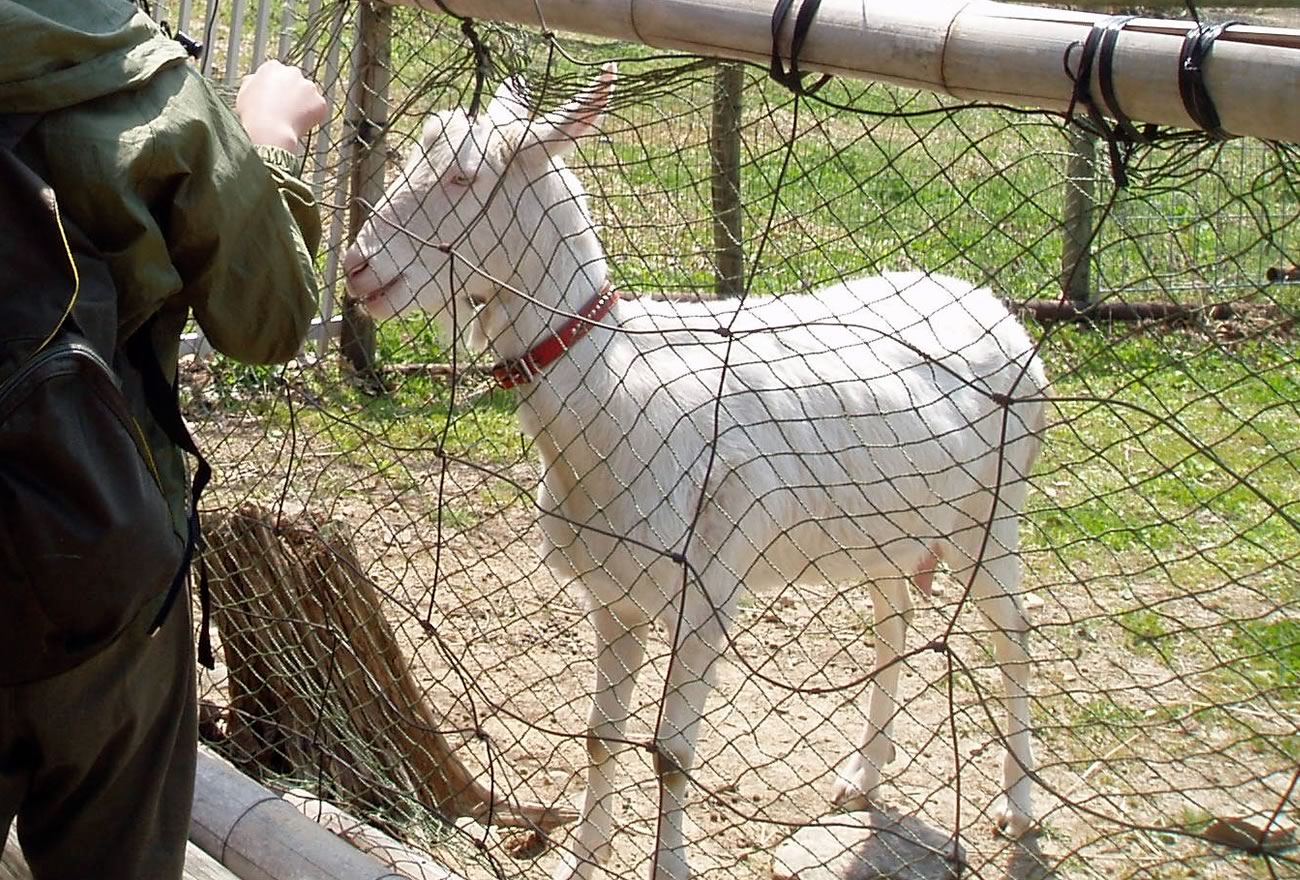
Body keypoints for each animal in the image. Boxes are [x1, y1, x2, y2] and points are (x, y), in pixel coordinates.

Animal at [343, 63, 1045, 878]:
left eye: (465, 176)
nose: (358, 268)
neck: (616, 394)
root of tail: (1000, 312)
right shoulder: (615, 595)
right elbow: (600, 737)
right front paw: (583, 859)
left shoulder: (709, 586)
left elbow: (672, 753)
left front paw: (668, 864)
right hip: (883, 533)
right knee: (894, 618)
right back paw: (860, 778)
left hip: (993, 516)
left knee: (1013, 636)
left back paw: (1018, 809)